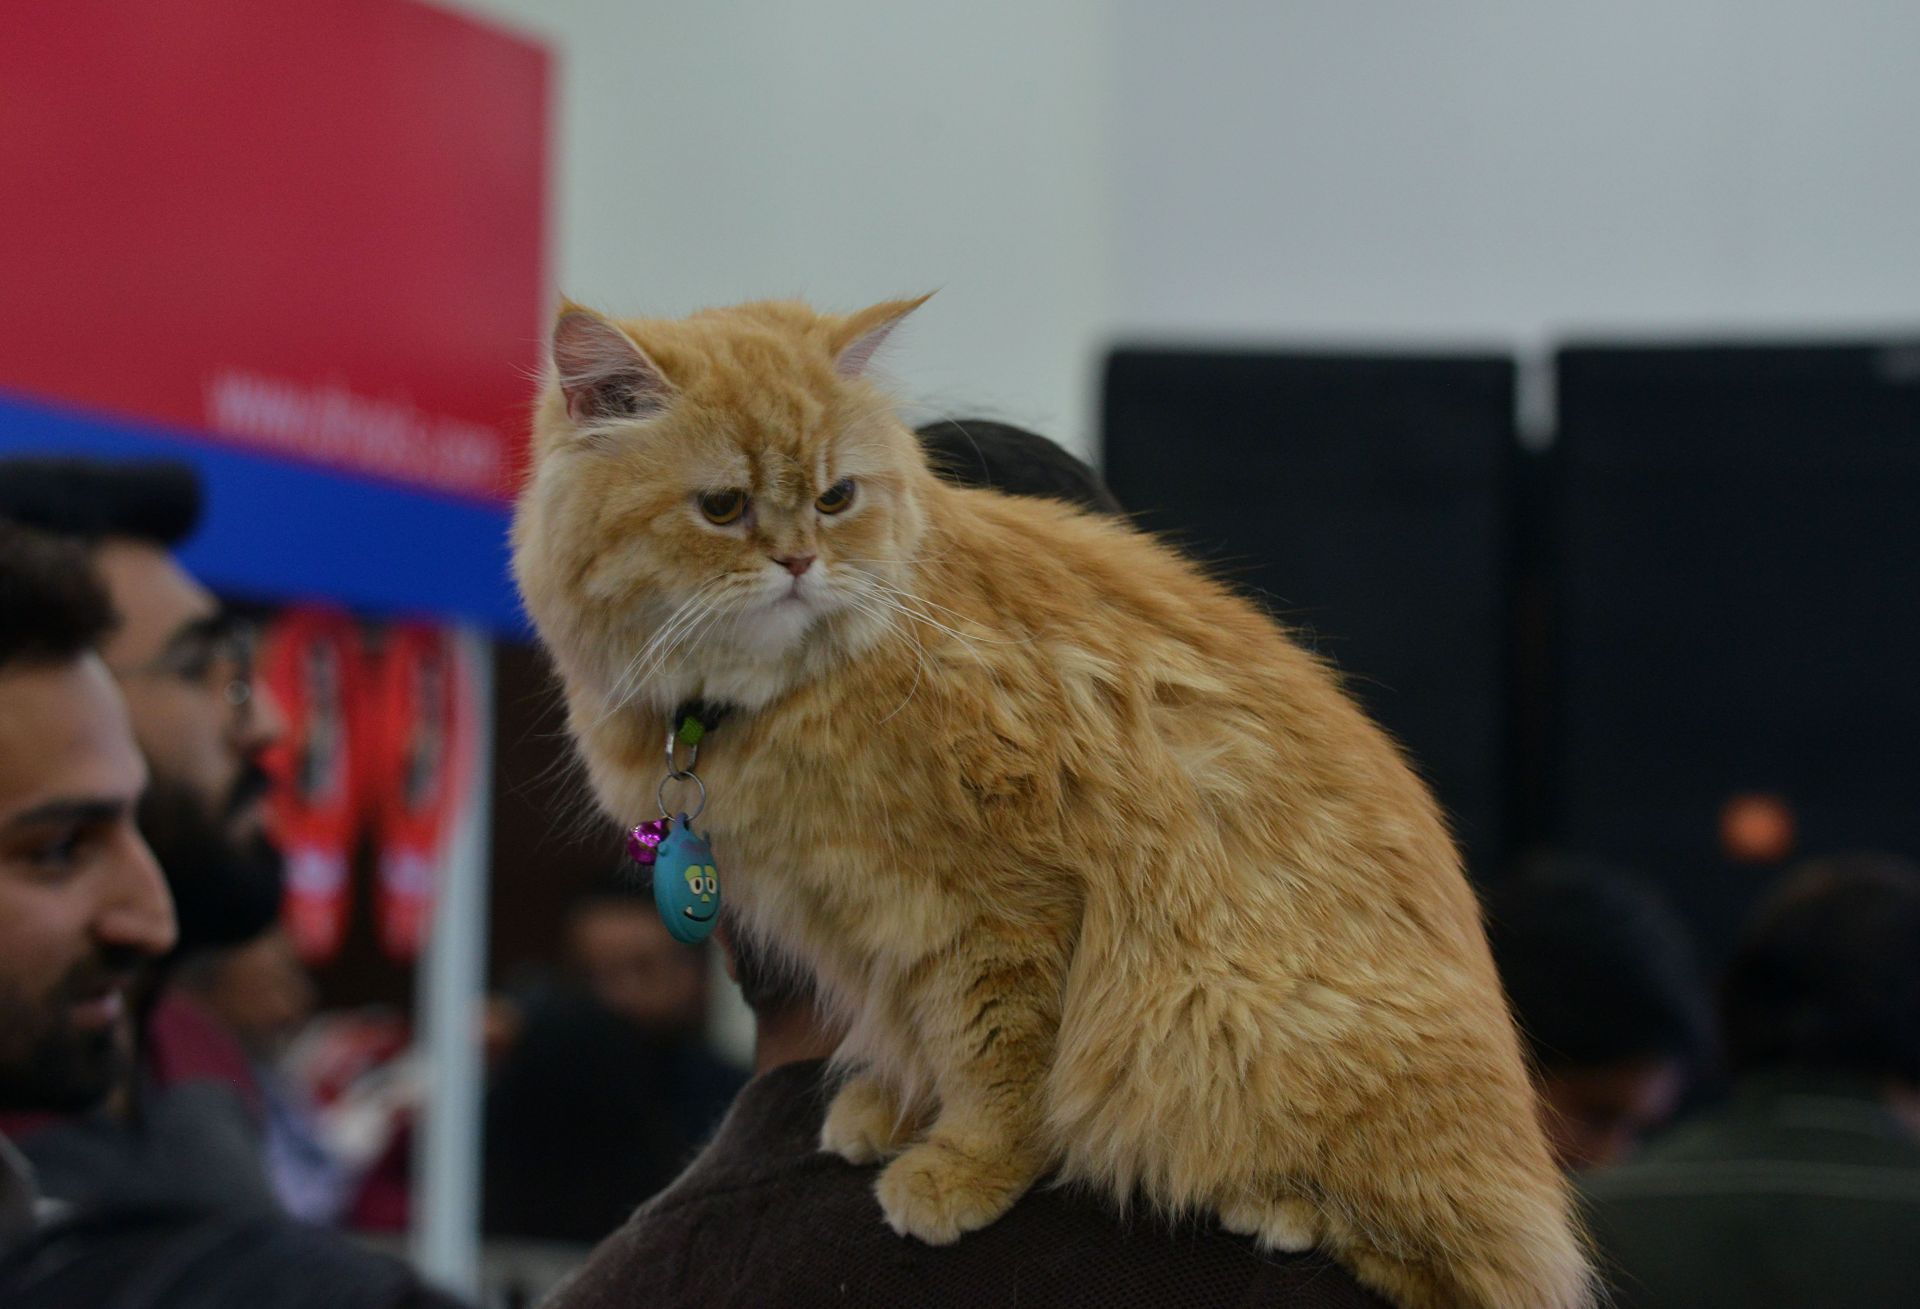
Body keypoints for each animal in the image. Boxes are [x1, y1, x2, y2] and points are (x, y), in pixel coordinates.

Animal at [510, 297, 1589, 1305]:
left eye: (835, 496)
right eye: (724, 507)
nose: (799, 563)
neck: (777, 701)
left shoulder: (997, 907)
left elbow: (994, 1062)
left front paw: (961, 1166)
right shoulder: (868, 928)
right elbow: (912, 1037)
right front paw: (889, 1110)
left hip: (1216, 1012)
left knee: (1446, 1256)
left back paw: (1279, 1205)